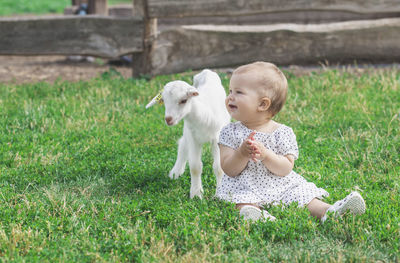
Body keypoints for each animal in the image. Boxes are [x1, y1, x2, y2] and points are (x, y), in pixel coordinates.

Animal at [147, 69, 230, 199]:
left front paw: (220, 194)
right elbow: (195, 166)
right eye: (164, 101)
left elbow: (219, 167)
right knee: (182, 145)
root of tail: (207, 71)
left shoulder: (217, 138)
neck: (203, 116)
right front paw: (196, 194)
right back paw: (175, 172)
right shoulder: (192, 137)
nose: (168, 119)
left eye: (183, 100)